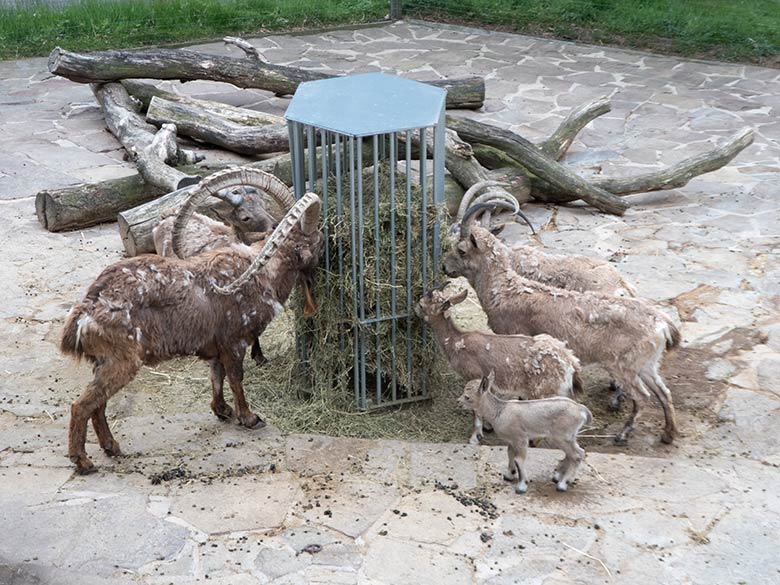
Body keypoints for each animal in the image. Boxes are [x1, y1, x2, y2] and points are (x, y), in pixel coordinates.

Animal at [60, 167, 322, 472]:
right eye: (315, 238)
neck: (262, 274)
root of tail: (86, 310)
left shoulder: (217, 345)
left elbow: (217, 376)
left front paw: (222, 410)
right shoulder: (234, 340)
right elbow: (236, 377)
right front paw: (249, 417)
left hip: (103, 362)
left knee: (97, 404)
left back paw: (111, 447)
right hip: (121, 360)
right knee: (82, 404)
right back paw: (83, 460)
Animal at [444, 213, 684, 442]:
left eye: (461, 249)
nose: (446, 268)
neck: (505, 291)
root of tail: (664, 324)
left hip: (625, 367)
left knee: (644, 396)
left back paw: (623, 433)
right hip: (647, 365)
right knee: (664, 392)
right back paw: (668, 434)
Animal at [458, 372, 592, 490]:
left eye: (467, 397)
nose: (458, 402)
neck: (499, 411)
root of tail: (580, 409)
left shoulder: (521, 439)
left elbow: (519, 460)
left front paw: (522, 486)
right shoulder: (511, 441)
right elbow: (510, 454)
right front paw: (509, 475)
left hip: (562, 436)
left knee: (576, 455)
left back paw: (563, 484)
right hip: (569, 436)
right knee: (578, 452)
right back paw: (559, 477)